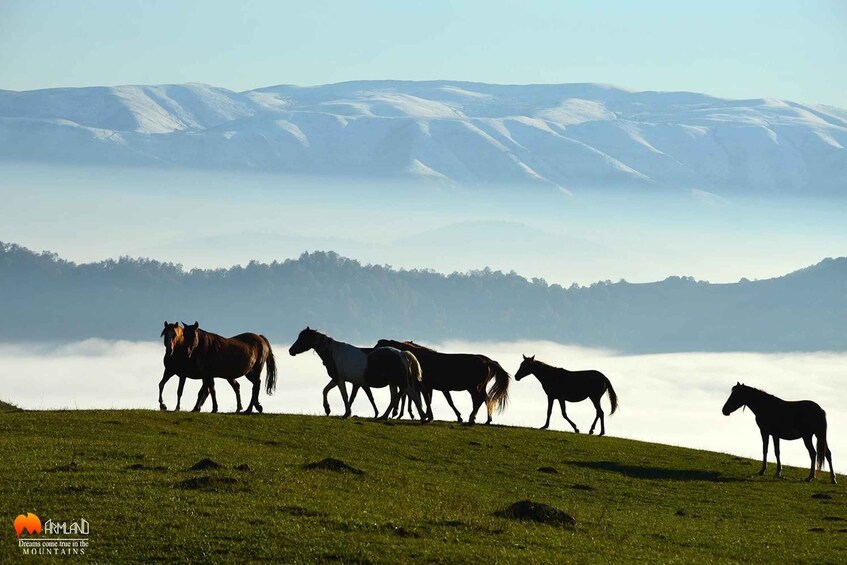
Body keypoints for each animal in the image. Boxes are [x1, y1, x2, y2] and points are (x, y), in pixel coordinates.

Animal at [290, 326, 424, 418]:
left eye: (303, 338)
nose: (291, 351)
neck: (333, 352)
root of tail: (402, 353)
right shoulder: (336, 379)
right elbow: (325, 390)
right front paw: (327, 409)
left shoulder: (341, 380)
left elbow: (345, 396)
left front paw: (346, 413)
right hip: (393, 383)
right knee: (394, 398)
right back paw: (383, 416)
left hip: (401, 382)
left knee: (412, 395)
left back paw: (423, 418)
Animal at [372, 340, 506, 424]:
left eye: (379, 345)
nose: (371, 354)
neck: (419, 358)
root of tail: (487, 361)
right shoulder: (430, 387)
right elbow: (430, 400)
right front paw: (428, 416)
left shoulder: (425, 386)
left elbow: (425, 400)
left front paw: (427, 417)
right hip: (479, 387)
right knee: (485, 399)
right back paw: (486, 419)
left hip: (473, 387)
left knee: (479, 400)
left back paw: (472, 418)